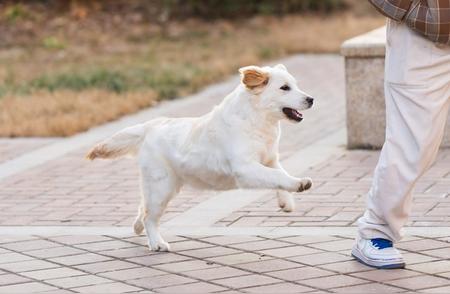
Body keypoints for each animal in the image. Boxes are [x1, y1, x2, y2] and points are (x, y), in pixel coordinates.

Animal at [87, 63, 312, 250]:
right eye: (284, 88)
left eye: (295, 85)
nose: (311, 99)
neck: (257, 120)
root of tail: (150, 126)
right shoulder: (245, 168)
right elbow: (277, 176)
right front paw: (299, 184)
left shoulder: (270, 159)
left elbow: (279, 174)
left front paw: (286, 201)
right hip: (161, 187)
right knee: (150, 216)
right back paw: (157, 243)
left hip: (162, 187)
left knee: (143, 210)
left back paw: (137, 228)